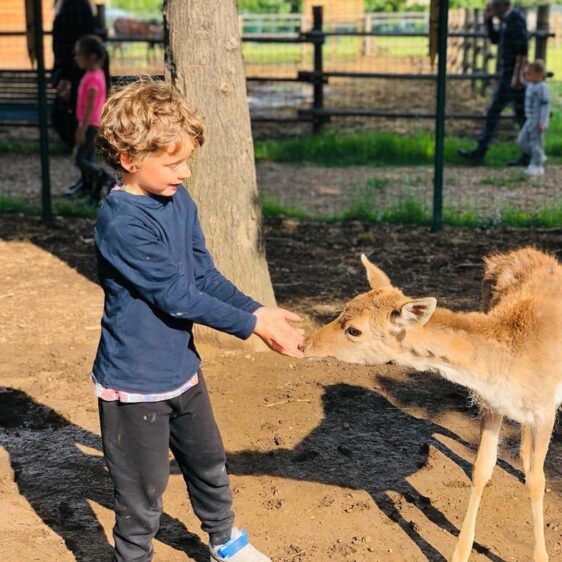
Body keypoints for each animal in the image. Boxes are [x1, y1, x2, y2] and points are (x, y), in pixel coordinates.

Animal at [304, 246, 556, 560]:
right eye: (344, 306)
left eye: (354, 330)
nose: (305, 343)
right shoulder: (491, 401)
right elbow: (481, 468)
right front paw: (460, 552)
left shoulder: (547, 408)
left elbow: (538, 481)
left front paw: (541, 555)